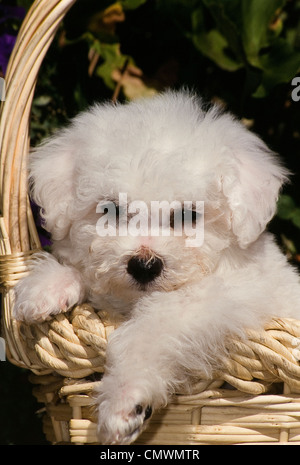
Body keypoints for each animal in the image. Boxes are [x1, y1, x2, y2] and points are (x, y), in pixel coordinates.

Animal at [14, 89, 300, 442]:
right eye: (111, 209)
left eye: (188, 215)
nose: (144, 265)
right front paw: (46, 287)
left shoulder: (219, 301)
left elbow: (146, 329)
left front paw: (124, 401)